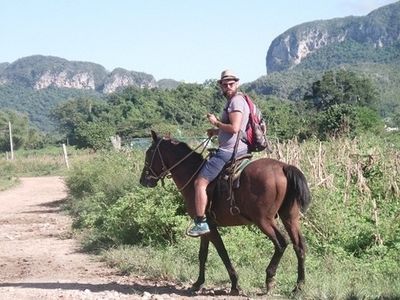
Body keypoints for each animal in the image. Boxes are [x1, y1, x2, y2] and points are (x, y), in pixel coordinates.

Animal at [139, 130, 310, 294]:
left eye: (149, 153)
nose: (143, 180)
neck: (192, 174)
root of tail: (283, 167)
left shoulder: (211, 228)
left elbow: (222, 253)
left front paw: (234, 284)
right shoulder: (205, 227)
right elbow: (203, 254)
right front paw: (198, 283)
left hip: (263, 220)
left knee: (281, 243)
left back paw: (269, 278)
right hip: (290, 217)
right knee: (299, 246)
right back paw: (298, 287)